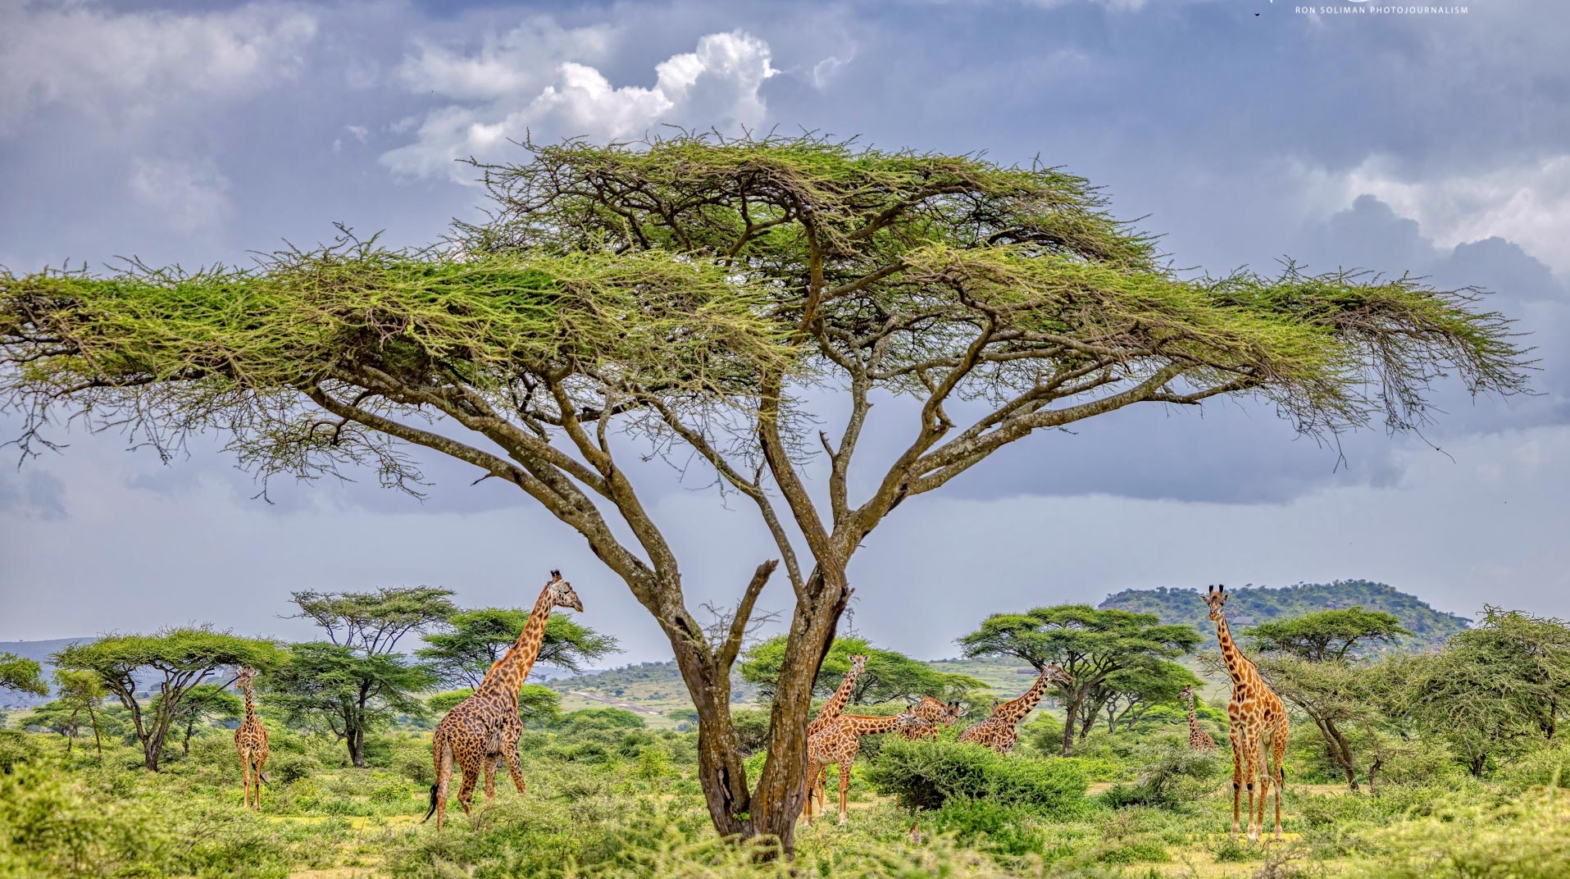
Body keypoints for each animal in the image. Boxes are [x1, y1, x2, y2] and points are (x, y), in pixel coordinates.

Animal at [233, 667, 269, 811]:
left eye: (248, 677)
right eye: (239, 677)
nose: (239, 684)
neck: (249, 723)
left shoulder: (258, 753)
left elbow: (257, 779)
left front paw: (257, 806)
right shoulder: (244, 751)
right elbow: (246, 778)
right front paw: (245, 805)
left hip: (264, 755)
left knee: (258, 776)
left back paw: (256, 805)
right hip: (249, 756)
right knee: (251, 776)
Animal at [424, 570, 583, 831]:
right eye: (566, 590)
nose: (580, 605)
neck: (514, 681)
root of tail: (444, 731)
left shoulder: (492, 754)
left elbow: (491, 795)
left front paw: (491, 831)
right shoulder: (510, 745)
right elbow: (522, 790)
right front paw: (534, 823)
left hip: (443, 756)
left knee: (442, 794)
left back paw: (441, 837)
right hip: (471, 757)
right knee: (464, 795)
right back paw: (473, 833)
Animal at [1204, 584, 1288, 842]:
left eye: (1222, 603)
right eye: (1208, 602)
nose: (1212, 614)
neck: (1239, 682)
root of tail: (1286, 712)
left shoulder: (1250, 729)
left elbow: (1249, 780)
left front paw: (1248, 832)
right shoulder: (1235, 729)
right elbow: (1238, 780)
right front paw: (1235, 831)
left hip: (1279, 738)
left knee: (1276, 778)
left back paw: (1277, 832)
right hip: (1263, 741)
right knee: (1266, 777)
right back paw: (1262, 829)